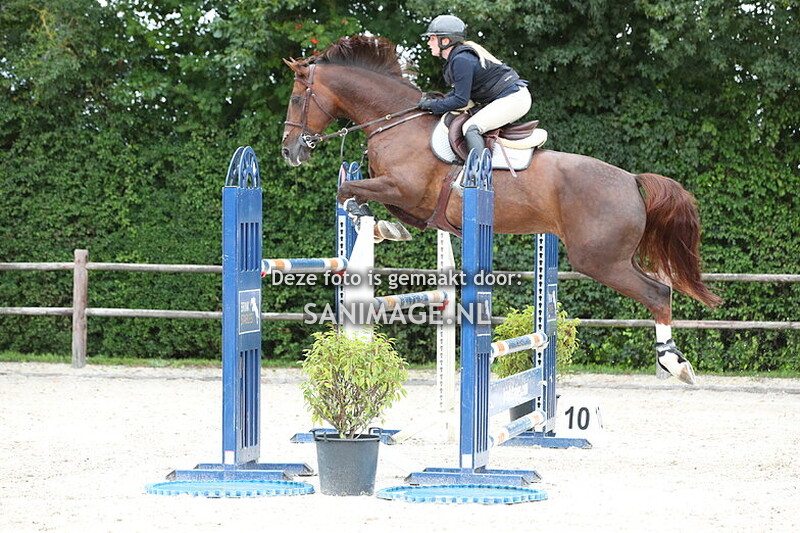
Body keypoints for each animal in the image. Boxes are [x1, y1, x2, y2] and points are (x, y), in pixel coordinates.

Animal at [281, 35, 722, 385]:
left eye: (298, 98)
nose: (290, 151)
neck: (397, 123)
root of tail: (630, 178)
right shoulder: (414, 203)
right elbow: (381, 207)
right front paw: (385, 229)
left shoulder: (403, 187)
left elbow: (347, 190)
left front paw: (370, 221)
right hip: (613, 256)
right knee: (658, 289)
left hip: (599, 259)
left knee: (658, 293)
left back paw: (674, 363)